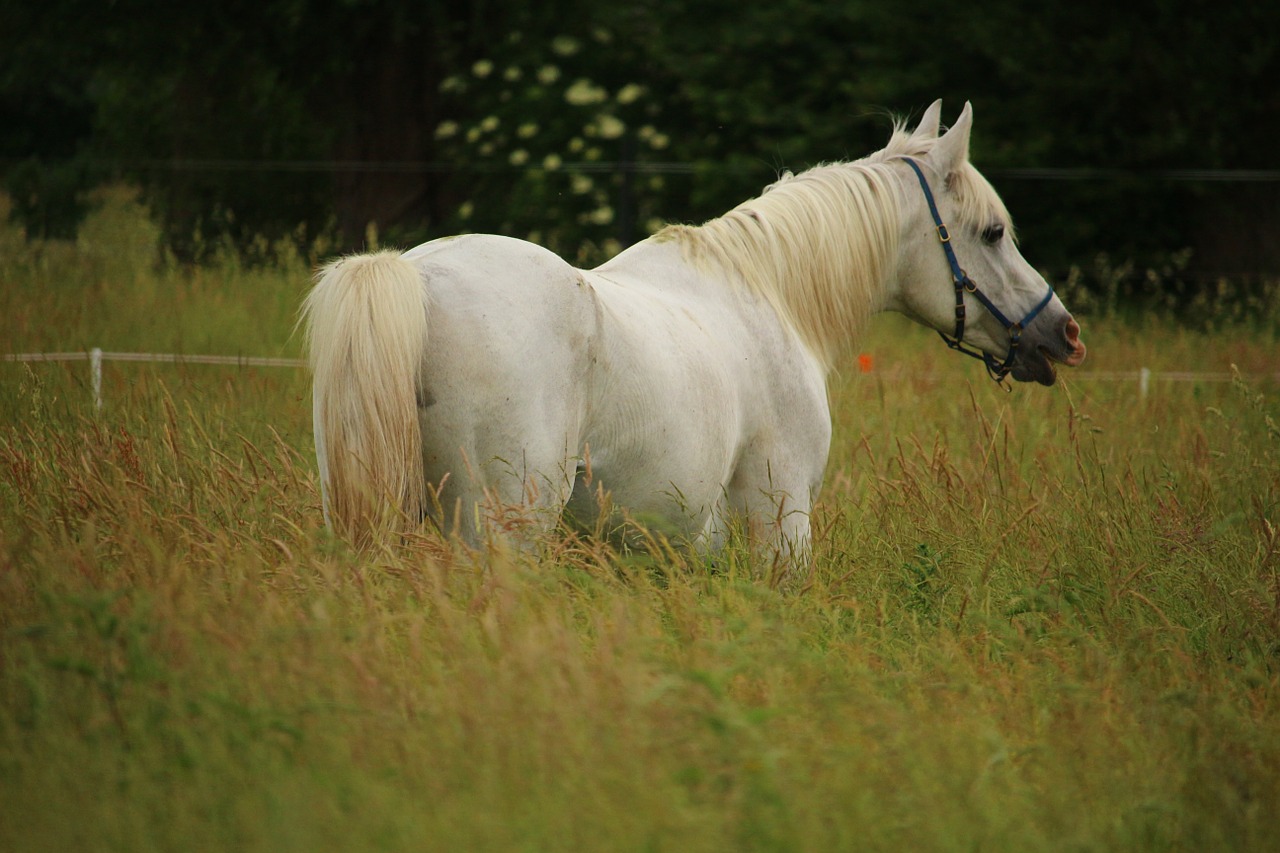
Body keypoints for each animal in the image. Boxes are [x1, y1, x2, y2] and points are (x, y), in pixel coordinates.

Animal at [302, 101, 1090, 558]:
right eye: (992, 233)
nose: (1064, 333)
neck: (767, 290)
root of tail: (417, 277)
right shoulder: (781, 524)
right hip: (501, 536)